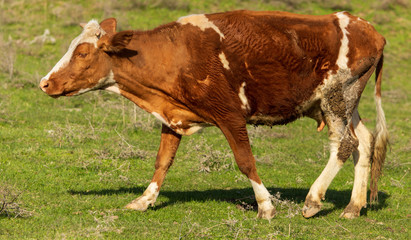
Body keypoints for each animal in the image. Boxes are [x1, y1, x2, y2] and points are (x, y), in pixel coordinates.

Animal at [39, 10, 390, 219]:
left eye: (83, 52)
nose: (45, 82)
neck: (177, 54)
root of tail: (368, 29)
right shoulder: (173, 115)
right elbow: (162, 161)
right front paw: (144, 200)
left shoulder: (230, 115)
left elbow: (245, 160)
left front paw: (265, 206)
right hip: (343, 105)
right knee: (364, 142)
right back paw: (353, 207)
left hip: (337, 98)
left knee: (344, 144)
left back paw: (313, 201)